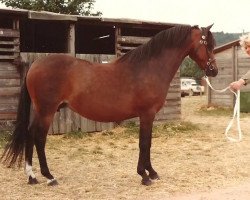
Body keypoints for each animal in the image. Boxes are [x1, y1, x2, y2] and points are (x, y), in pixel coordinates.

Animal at [0, 24, 217, 186]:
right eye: (208, 45)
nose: (213, 70)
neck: (149, 68)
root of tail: (34, 65)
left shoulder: (147, 115)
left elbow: (147, 143)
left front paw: (151, 173)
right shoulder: (147, 114)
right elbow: (144, 143)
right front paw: (145, 175)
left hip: (41, 110)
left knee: (29, 134)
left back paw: (32, 176)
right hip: (47, 111)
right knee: (39, 138)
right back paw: (49, 177)